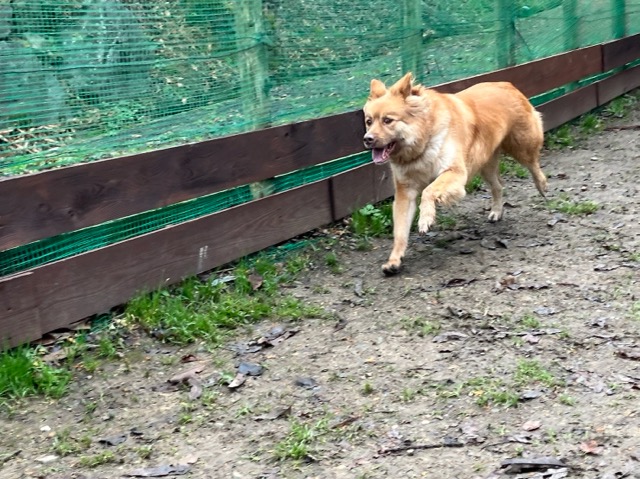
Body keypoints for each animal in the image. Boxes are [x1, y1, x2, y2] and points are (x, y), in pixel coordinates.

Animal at [362, 73, 547, 275]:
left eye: (387, 120)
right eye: (369, 121)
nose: (367, 139)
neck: (422, 142)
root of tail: (507, 84)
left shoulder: (455, 173)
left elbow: (428, 191)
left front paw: (426, 218)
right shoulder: (405, 193)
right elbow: (401, 231)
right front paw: (394, 260)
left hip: (521, 146)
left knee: (534, 165)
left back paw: (542, 186)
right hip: (485, 165)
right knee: (498, 186)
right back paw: (497, 211)